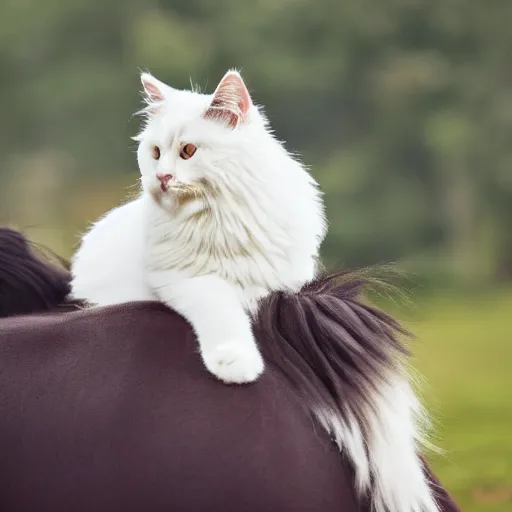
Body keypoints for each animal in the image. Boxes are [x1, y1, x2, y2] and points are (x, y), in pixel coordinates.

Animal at [71, 69, 326, 384]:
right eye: (155, 153)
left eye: (188, 151)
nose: (162, 177)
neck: (222, 218)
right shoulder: (185, 278)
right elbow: (222, 310)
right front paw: (235, 362)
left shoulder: (281, 279)